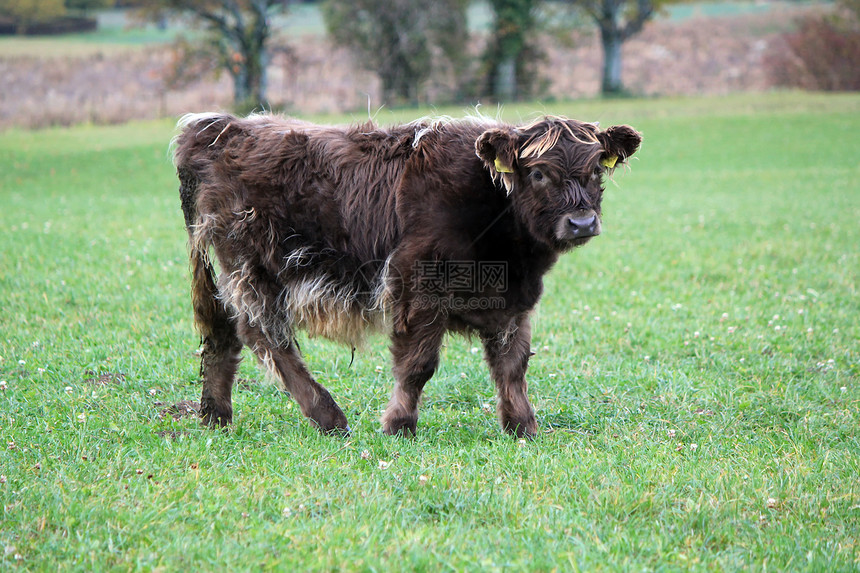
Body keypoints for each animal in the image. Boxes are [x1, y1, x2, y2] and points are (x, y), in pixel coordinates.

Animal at [173, 111, 640, 436]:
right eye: (539, 173)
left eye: (596, 170)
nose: (581, 222)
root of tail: (223, 127)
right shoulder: (416, 287)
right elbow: (418, 364)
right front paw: (399, 424)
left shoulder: (515, 302)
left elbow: (512, 365)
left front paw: (521, 425)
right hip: (253, 268)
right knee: (264, 335)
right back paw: (329, 416)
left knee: (224, 334)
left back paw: (216, 415)